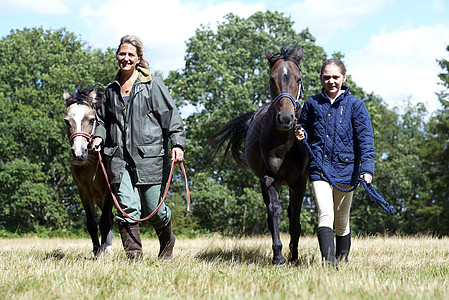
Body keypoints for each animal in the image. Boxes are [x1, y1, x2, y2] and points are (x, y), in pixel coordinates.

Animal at [64, 86, 114, 255]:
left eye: (92, 120)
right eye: (67, 121)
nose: (79, 154)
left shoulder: (109, 192)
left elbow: (104, 221)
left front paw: (102, 252)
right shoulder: (84, 193)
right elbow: (92, 223)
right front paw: (97, 250)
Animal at [209, 43, 308, 264]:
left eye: (298, 79)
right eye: (272, 79)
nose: (286, 119)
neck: (286, 142)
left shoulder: (299, 181)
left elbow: (295, 218)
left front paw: (294, 257)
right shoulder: (269, 178)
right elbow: (275, 211)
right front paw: (279, 256)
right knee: (271, 212)